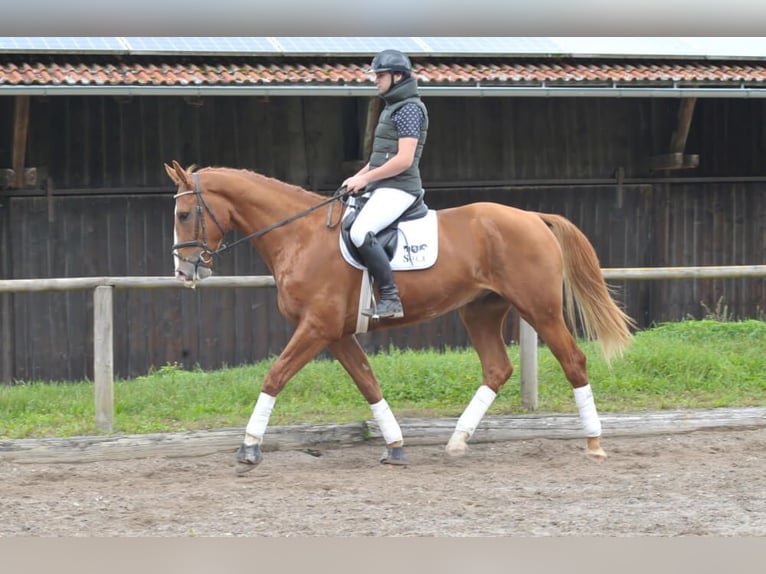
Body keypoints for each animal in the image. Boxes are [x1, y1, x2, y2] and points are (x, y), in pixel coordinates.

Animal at [164, 160, 636, 474]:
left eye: (184, 214)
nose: (185, 272)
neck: (299, 235)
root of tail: (533, 217)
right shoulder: (336, 334)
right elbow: (368, 382)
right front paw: (394, 446)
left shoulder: (316, 327)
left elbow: (275, 376)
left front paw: (249, 447)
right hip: (481, 311)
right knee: (497, 369)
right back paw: (457, 441)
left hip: (539, 308)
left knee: (573, 361)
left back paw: (594, 443)